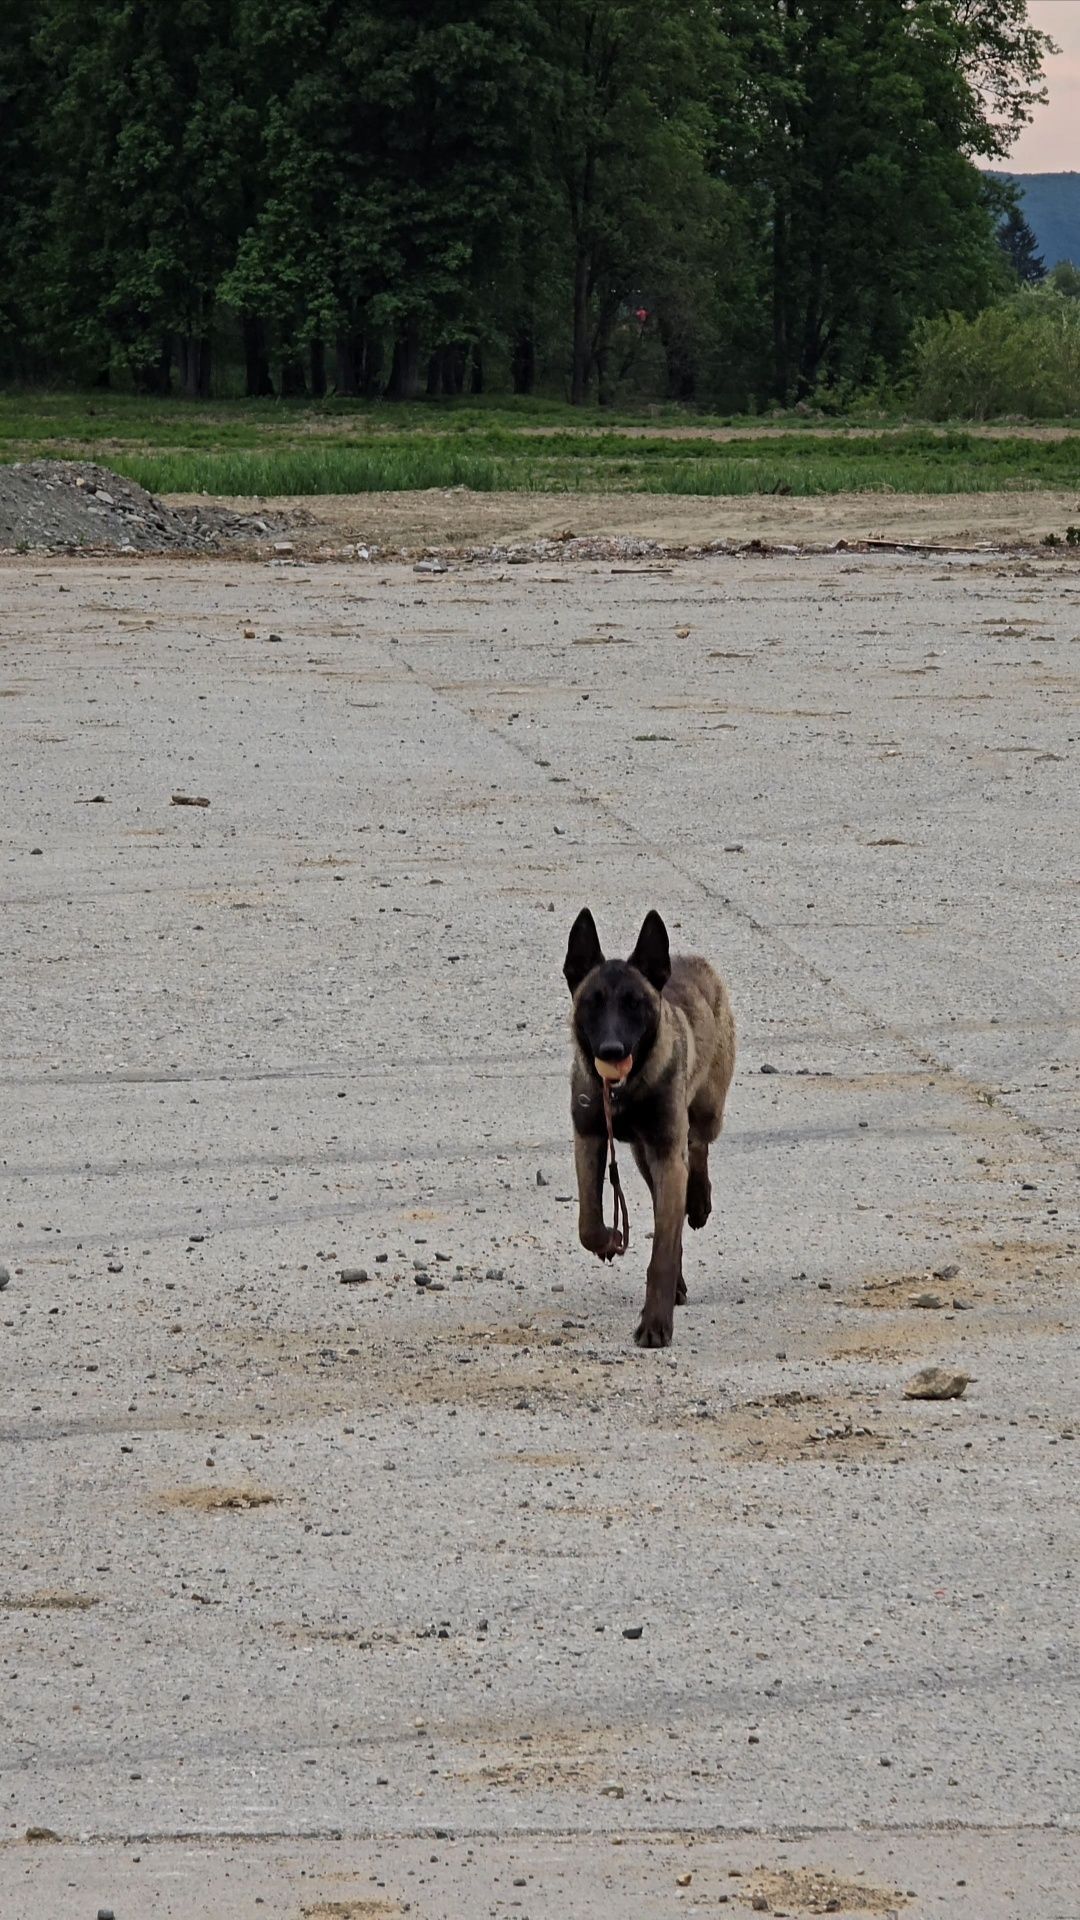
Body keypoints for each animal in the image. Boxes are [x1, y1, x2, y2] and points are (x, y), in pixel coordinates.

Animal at [564, 910, 730, 1351]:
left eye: (634, 1004)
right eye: (592, 1003)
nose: (611, 1050)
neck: (625, 1091)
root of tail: (689, 960)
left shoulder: (668, 1155)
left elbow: (662, 1254)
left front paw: (656, 1323)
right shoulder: (590, 1139)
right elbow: (588, 1222)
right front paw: (607, 1239)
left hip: (706, 1112)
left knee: (699, 1146)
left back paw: (699, 1200)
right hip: (642, 1157)